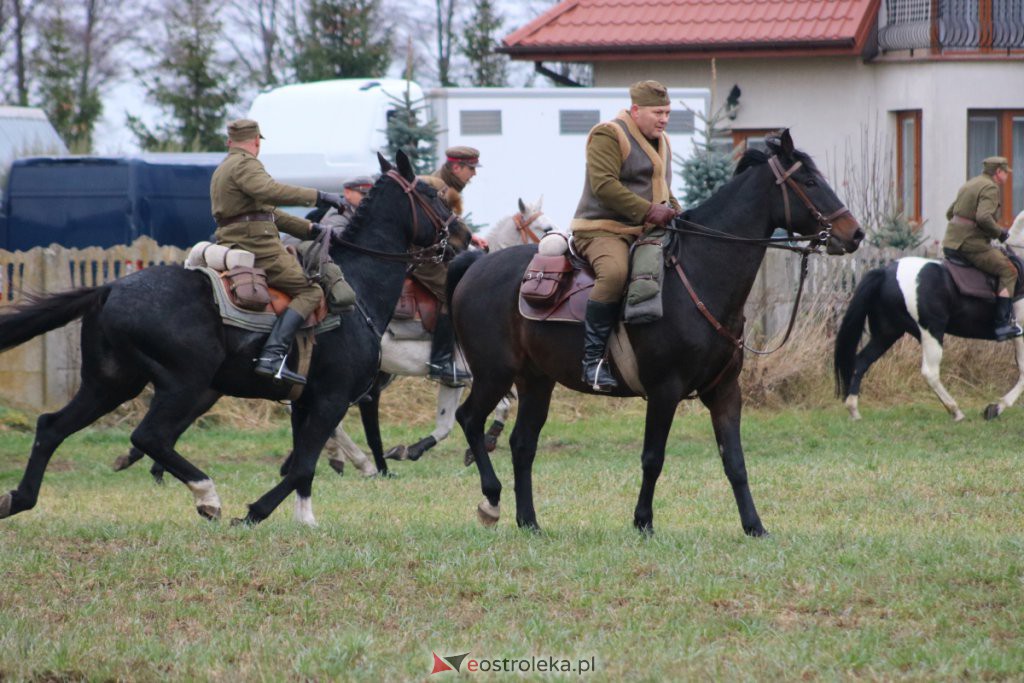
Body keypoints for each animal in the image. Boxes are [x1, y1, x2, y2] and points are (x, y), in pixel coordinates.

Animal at [0, 149, 468, 528]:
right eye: (432, 194)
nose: (463, 237)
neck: (358, 287)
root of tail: (109, 288)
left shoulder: (307, 402)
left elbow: (304, 464)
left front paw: (305, 518)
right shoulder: (331, 399)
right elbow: (301, 465)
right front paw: (255, 513)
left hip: (111, 383)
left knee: (52, 426)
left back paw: (18, 499)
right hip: (184, 385)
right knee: (149, 437)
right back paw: (207, 495)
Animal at [448, 127, 864, 532]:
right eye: (809, 181)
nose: (855, 233)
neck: (697, 274)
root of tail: (475, 267)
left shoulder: (726, 391)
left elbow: (735, 462)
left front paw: (754, 526)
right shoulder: (665, 390)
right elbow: (653, 458)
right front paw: (643, 521)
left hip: (536, 381)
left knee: (522, 444)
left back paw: (529, 521)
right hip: (495, 374)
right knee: (469, 419)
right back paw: (492, 499)